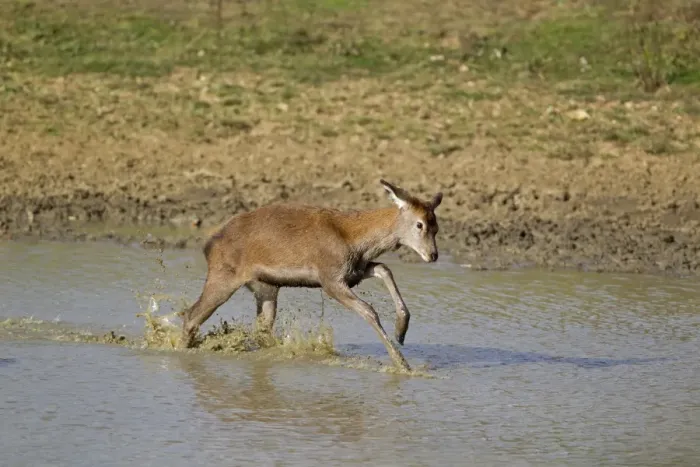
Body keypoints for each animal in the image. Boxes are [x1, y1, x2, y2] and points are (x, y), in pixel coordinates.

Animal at [180, 179, 443, 372]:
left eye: (437, 226)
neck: (356, 241)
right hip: (224, 276)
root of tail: (209, 245)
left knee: (261, 329)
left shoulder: (355, 272)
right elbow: (369, 310)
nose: (433, 255)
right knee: (191, 315)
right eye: (419, 224)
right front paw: (402, 364)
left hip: (265, 286)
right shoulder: (330, 278)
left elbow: (384, 269)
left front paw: (401, 330)